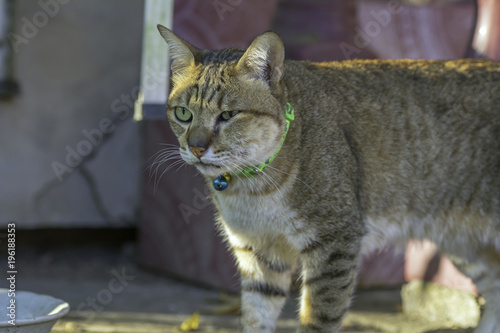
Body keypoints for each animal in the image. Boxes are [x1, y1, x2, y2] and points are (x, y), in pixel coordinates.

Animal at [157, 26, 500, 332]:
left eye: (228, 115)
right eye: (184, 113)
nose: (196, 148)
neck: (252, 187)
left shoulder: (335, 242)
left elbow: (318, 319)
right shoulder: (259, 251)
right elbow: (256, 317)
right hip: (462, 242)